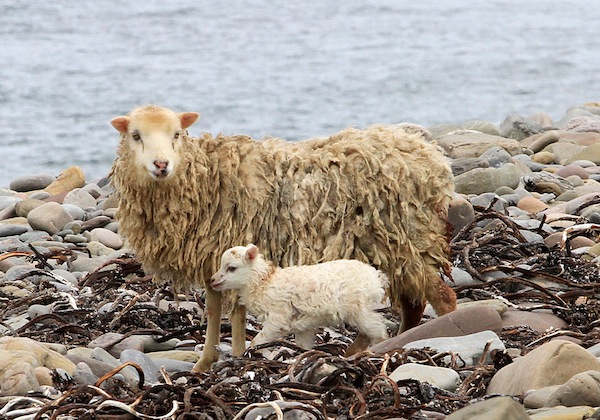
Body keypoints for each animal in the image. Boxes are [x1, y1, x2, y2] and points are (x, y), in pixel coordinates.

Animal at [210, 243, 390, 348]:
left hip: (360, 309)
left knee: (378, 329)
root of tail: (376, 277)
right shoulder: (303, 325)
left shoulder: (278, 317)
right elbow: (304, 345)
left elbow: (258, 340)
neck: (263, 283)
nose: (212, 280)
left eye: (231, 268)